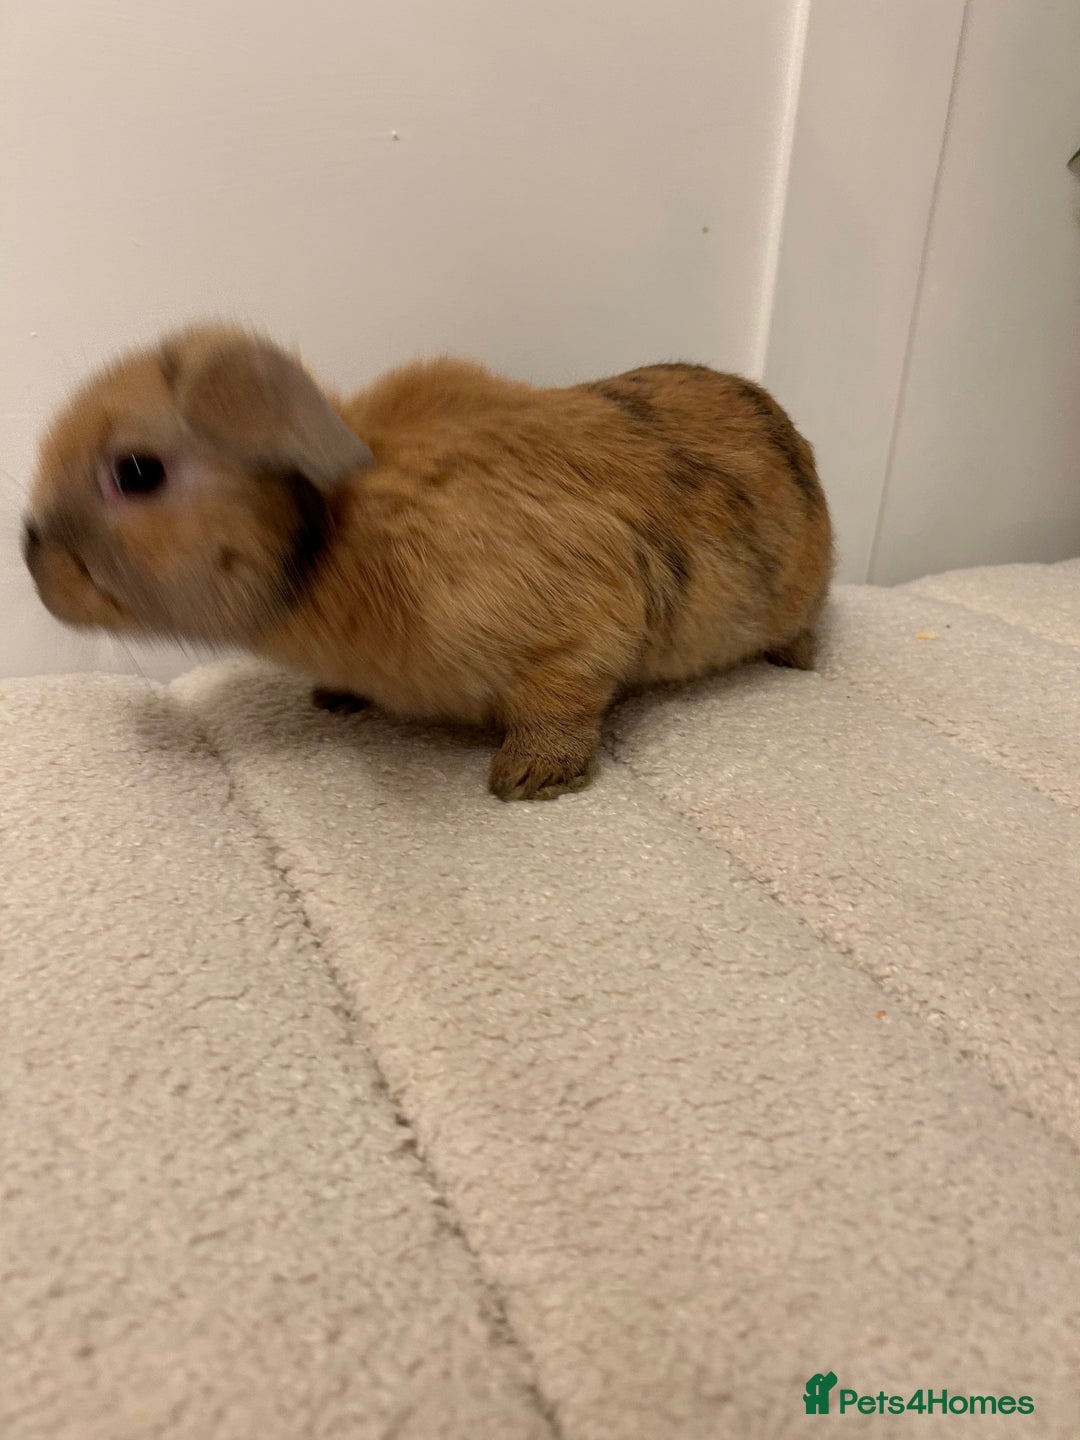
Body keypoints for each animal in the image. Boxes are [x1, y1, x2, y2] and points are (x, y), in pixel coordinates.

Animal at [23, 324, 833, 799]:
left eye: (136, 472)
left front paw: (526, 780)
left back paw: (796, 662)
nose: (32, 557)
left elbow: (562, 704)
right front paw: (333, 699)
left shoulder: (578, 631)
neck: (342, 533)